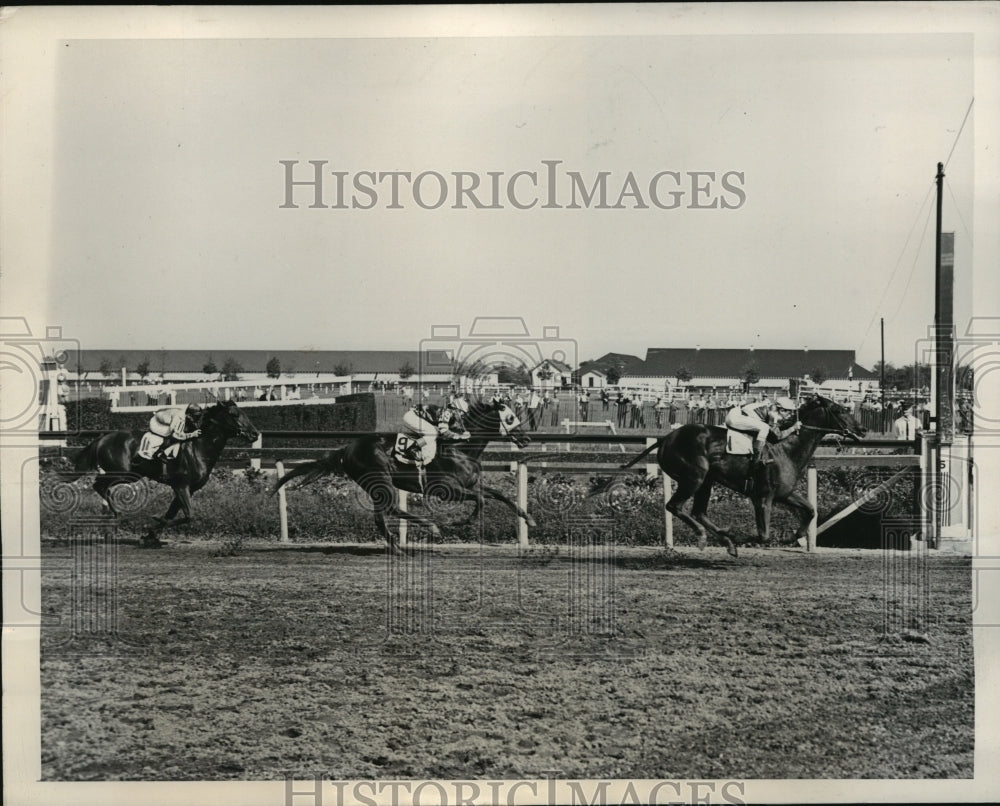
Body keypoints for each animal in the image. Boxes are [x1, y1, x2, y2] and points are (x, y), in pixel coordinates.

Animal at [67, 400, 260, 548]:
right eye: (234, 414)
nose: (255, 434)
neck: (198, 447)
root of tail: (101, 439)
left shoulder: (187, 488)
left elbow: (172, 513)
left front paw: (151, 534)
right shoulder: (181, 485)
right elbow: (188, 516)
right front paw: (153, 523)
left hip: (130, 475)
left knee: (101, 485)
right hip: (123, 473)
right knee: (98, 484)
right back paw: (116, 514)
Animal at [274, 400, 536, 552]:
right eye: (510, 418)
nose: (526, 439)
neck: (461, 448)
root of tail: (347, 449)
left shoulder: (472, 485)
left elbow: (500, 495)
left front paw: (529, 519)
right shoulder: (447, 491)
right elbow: (481, 501)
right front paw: (461, 522)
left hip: (377, 486)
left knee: (381, 517)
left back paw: (398, 547)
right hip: (381, 481)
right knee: (391, 509)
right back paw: (431, 528)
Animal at [612, 394, 864, 560]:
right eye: (840, 410)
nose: (862, 430)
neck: (785, 448)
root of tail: (666, 438)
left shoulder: (785, 494)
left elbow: (811, 510)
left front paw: (796, 536)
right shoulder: (762, 497)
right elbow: (763, 535)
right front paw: (740, 538)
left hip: (707, 480)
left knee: (698, 511)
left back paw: (724, 540)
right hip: (694, 476)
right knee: (674, 506)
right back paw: (706, 537)